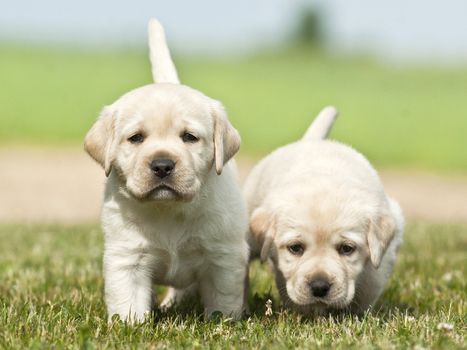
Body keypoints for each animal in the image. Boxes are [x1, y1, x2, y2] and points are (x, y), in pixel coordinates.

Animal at [86, 18, 250, 320]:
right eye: (136, 138)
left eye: (189, 137)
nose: (162, 165)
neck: (168, 210)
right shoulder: (127, 258)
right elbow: (128, 304)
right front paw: (129, 325)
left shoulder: (223, 257)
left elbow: (222, 302)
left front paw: (223, 323)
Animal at [247, 107, 404, 314]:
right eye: (295, 248)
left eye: (347, 248)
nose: (319, 286)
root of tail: (312, 140)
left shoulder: (380, 260)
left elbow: (370, 285)